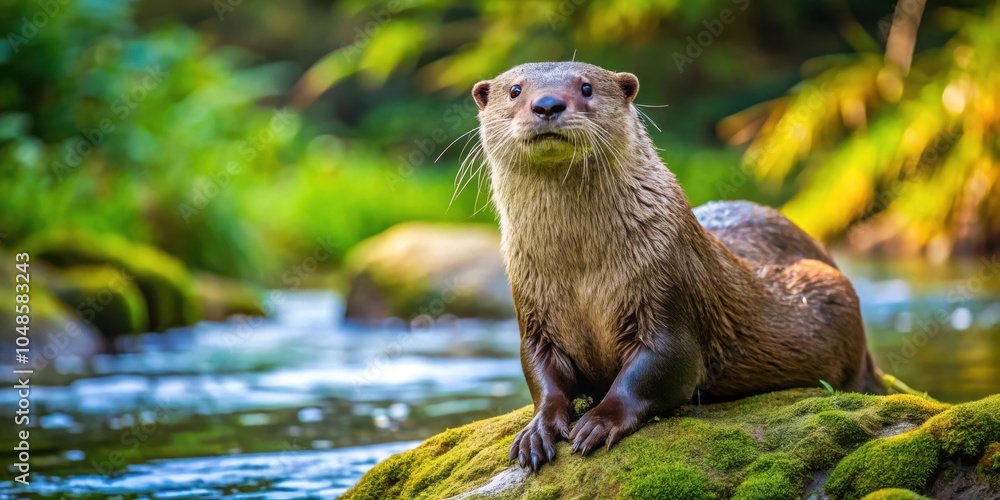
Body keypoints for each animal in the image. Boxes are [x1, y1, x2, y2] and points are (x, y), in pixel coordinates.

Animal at [470, 62, 884, 471]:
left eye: (586, 87)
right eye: (515, 90)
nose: (547, 104)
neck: (580, 271)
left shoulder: (667, 289)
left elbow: (657, 370)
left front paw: (600, 422)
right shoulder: (533, 313)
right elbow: (542, 376)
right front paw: (536, 431)